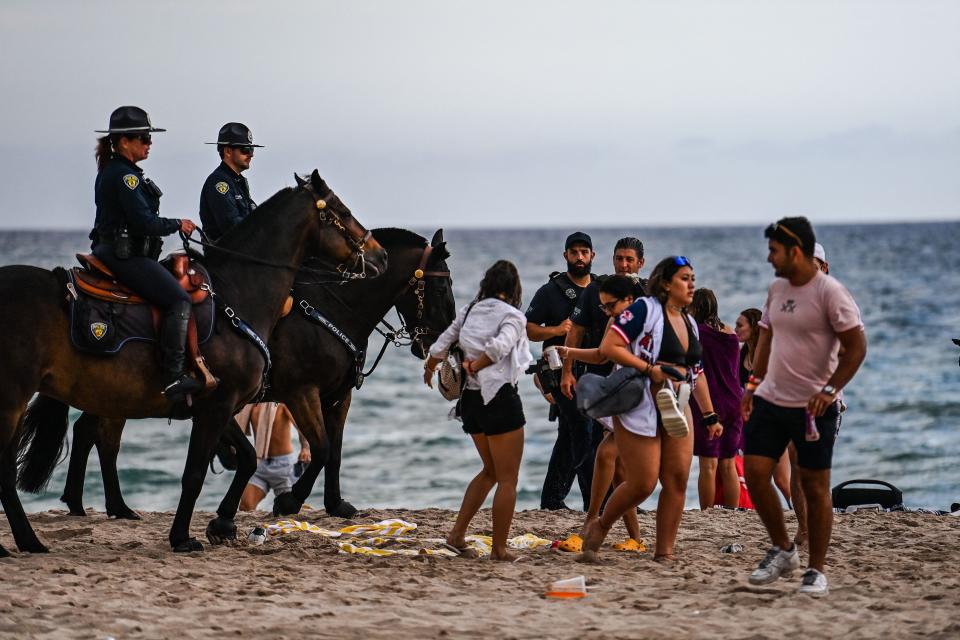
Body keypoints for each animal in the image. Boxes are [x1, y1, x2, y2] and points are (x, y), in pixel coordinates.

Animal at [4, 170, 386, 556]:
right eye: (341, 211)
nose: (380, 255)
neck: (238, 293)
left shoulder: (223, 404)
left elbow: (250, 457)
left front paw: (223, 523)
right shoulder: (247, 401)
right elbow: (197, 474)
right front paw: (184, 536)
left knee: (90, 437)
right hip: (18, 399)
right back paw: (33, 538)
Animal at [49, 228, 458, 524]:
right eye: (440, 286)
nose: (442, 341)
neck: (331, 308)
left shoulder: (339, 397)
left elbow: (337, 451)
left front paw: (335, 504)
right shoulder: (301, 393)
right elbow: (323, 449)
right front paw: (290, 502)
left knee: (88, 432)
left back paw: (84, 503)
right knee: (103, 439)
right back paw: (113, 505)